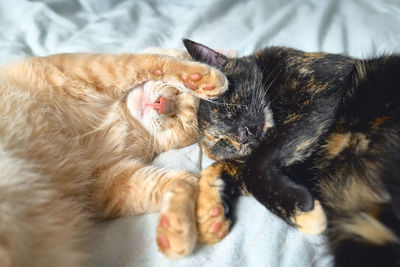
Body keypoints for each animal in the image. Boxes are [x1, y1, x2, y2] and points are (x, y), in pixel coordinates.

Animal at [0, 51, 230, 266]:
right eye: (178, 91)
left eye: (179, 121)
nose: (161, 105)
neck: (124, 117)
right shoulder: (90, 66)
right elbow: (146, 61)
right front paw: (200, 76)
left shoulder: (108, 180)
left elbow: (185, 179)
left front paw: (179, 227)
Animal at [184, 39, 400, 267]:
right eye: (221, 143)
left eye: (227, 111)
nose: (243, 136)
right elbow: (225, 169)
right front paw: (212, 215)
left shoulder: (322, 95)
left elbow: (257, 162)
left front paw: (305, 212)